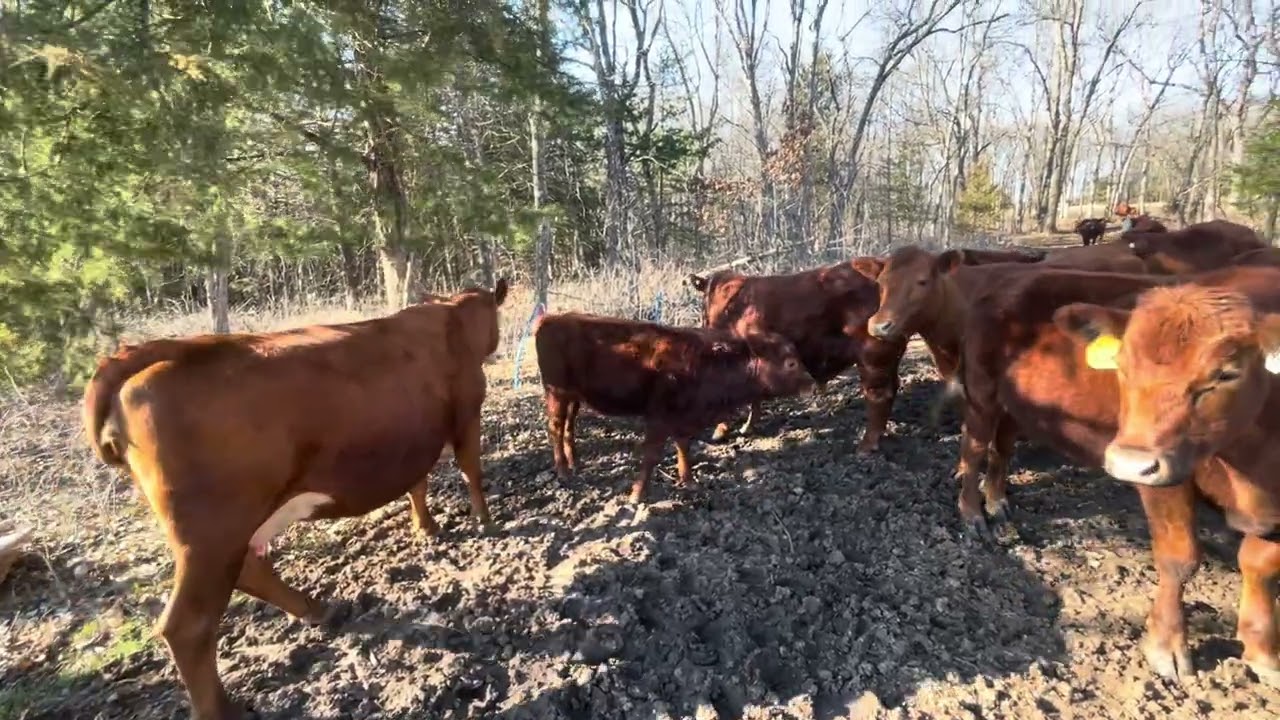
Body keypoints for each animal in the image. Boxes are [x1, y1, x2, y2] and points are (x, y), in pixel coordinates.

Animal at [80, 279, 508, 720]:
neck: (453, 318)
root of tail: (166, 349)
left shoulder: (415, 441)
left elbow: (417, 485)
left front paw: (426, 528)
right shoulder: (467, 412)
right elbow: (471, 469)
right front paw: (485, 520)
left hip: (225, 534)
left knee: (248, 570)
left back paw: (315, 609)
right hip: (211, 535)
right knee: (188, 625)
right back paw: (225, 708)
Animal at [532, 312, 814, 502]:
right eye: (790, 362)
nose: (811, 383)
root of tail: (550, 319)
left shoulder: (683, 417)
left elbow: (683, 446)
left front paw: (688, 481)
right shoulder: (659, 418)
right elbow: (652, 454)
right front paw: (637, 495)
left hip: (573, 398)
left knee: (569, 427)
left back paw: (575, 463)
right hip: (556, 394)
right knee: (555, 427)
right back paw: (563, 471)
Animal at [1055, 281, 1280, 685]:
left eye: (1226, 374)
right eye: (1121, 364)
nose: (1130, 462)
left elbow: (1260, 563)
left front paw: (1262, 649)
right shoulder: (1167, 477)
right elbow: (1179, 558)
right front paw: (1167, 646)